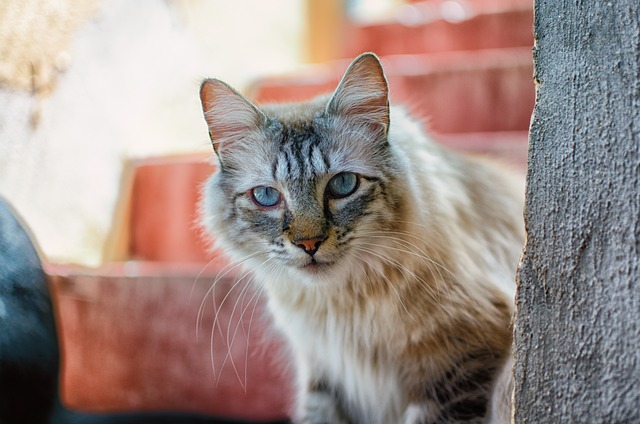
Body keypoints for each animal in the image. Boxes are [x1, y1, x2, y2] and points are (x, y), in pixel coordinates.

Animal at [200, 53, 524, 424]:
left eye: (343, 185)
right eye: (267, 196)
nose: (308, 244)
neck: (342, 304)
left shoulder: (459, 366)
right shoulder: (326, 374)